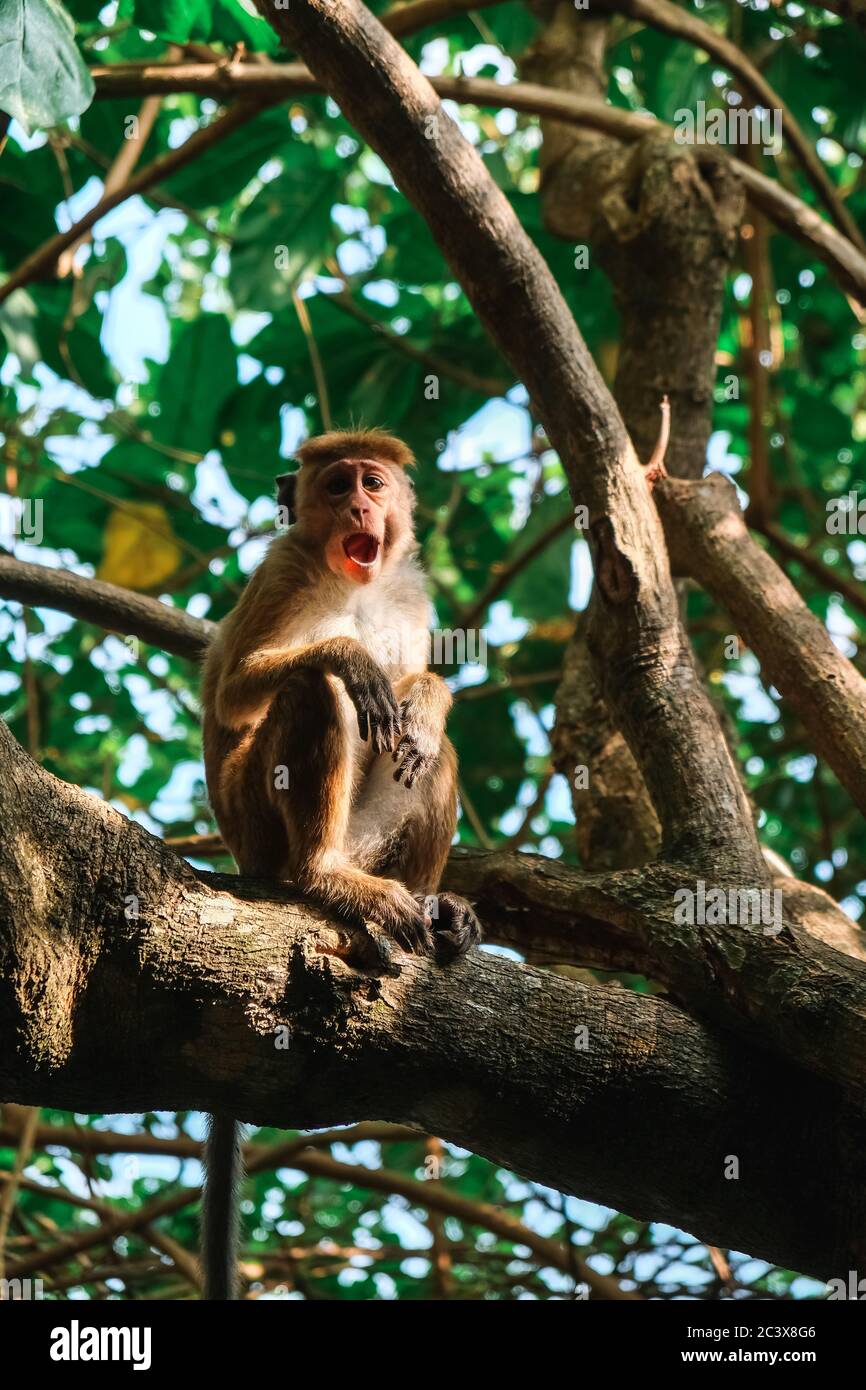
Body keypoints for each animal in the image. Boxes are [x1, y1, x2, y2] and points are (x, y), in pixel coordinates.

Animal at [199, 428, 481, 1299]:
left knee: (430, 753)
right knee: (313, 690)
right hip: (259, 821)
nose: (359, 508)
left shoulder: (411, 595)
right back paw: (321, 876)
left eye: (373, 483)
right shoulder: (282, 571)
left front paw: (429, 697)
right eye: (336, 485)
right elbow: (240, 690)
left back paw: (432, 905)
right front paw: (349, 654)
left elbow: (420, 699)